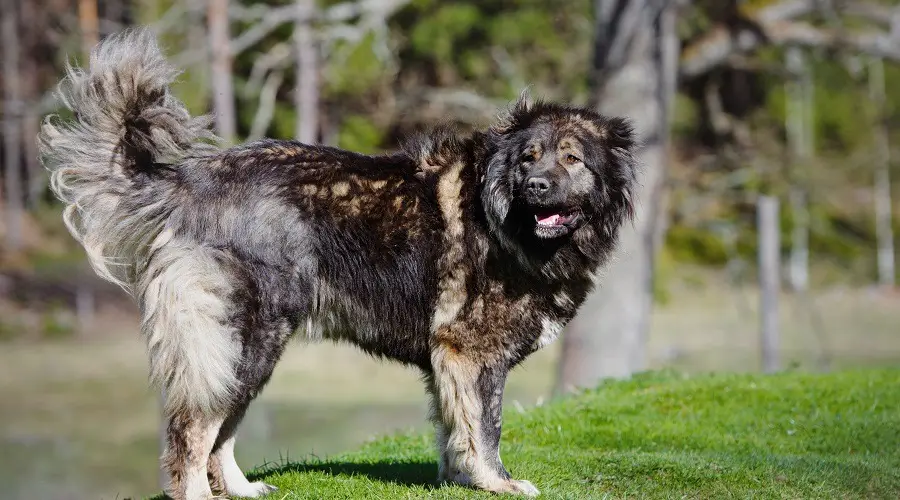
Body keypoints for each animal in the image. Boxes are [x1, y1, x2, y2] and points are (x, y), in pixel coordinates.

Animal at [37, 28, 640, 500]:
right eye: (528, 158)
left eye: (571, 158)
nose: (535, 186)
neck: (504, 220)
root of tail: (190, 183)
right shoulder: (472, 354)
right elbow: (485, 428)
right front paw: (498, 483)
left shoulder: (450, 363)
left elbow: (454, 431)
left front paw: (460, 480)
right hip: (239, 343)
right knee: (192, 433)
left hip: (255, 351)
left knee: (220, 434)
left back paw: (242, 489)